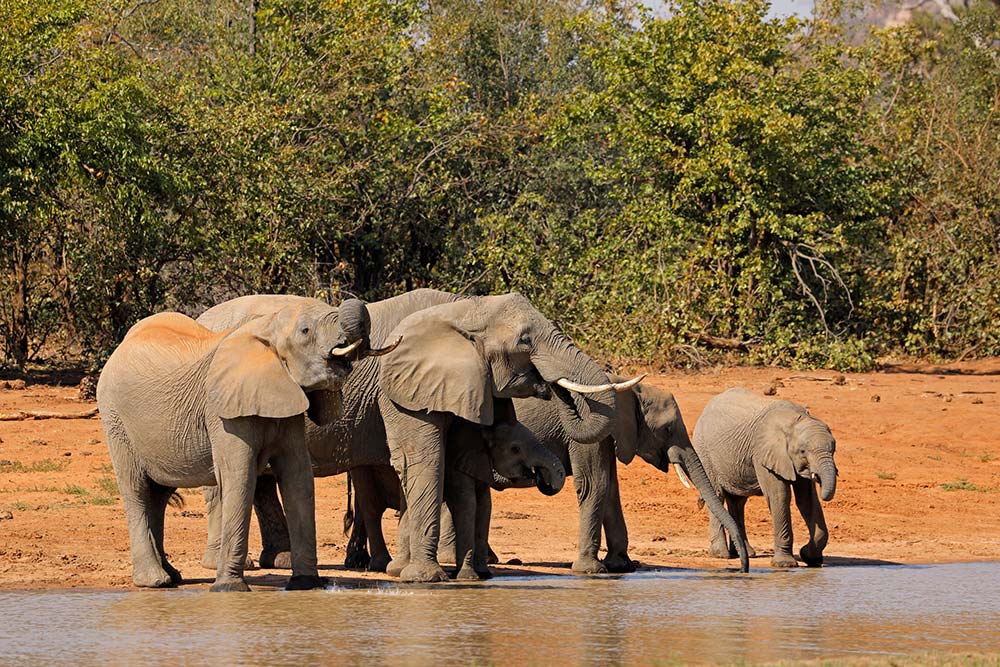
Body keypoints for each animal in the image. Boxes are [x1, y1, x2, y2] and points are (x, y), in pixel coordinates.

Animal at [96, 297, 378, 591]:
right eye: (305, 331)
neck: (266, 328)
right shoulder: (222, 411)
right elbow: (240, 476)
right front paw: (229, 589)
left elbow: (298, 476)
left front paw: (305, 584)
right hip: (115, 420)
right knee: (136, 490)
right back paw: (154, 581)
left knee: (159, 494)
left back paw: (172, 577)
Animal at [195, 288, 635, 583]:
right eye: (525, 341)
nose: (553, 386)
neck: (464, 308)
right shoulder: (400, 388)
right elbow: (425, 460)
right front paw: (427, 573)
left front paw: (439, 570)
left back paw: (283, 561)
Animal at [692, 387, 838, 568]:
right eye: (803, 451)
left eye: (834, 450)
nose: (818, 477)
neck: (793, 420)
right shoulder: (764, 453)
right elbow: (780, 496)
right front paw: (785, 564)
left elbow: (807, 500)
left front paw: (810, 558)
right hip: (704, 450)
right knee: (717, 496)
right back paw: (721, 555)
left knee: (737, 501)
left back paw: (745, 553)